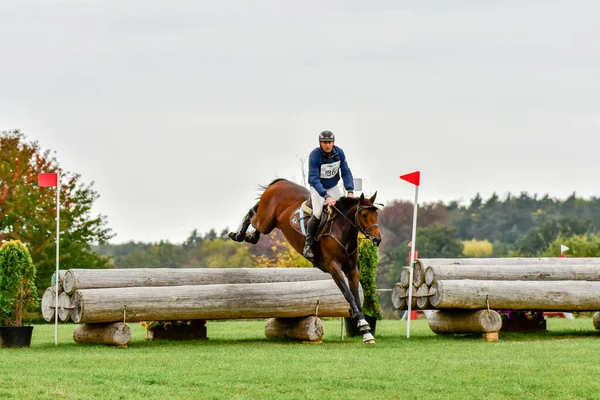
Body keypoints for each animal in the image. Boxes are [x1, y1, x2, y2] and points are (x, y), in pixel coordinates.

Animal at [227, 178, 382, 344]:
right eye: (364, 214)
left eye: (376, 214)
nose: (377, 239)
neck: (341, 231)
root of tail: (280, 182)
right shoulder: (333, 267)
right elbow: (348, 294)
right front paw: (363, 325)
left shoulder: (352, 269)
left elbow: (356, 297)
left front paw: (366, 331)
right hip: (266, 221)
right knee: (252, 215)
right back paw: (237, 235)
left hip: (270, 223)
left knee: (256, 222)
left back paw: (250, 237)